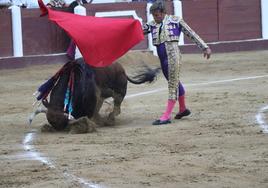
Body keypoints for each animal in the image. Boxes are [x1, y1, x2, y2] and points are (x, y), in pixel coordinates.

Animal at [31, 57, 159, 131]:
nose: (60, 129)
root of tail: (122, 69)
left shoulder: (93, 98)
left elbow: (91, 113)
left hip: (120, 90)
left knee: (117, 106)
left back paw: (109, 119)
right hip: (103, 97)